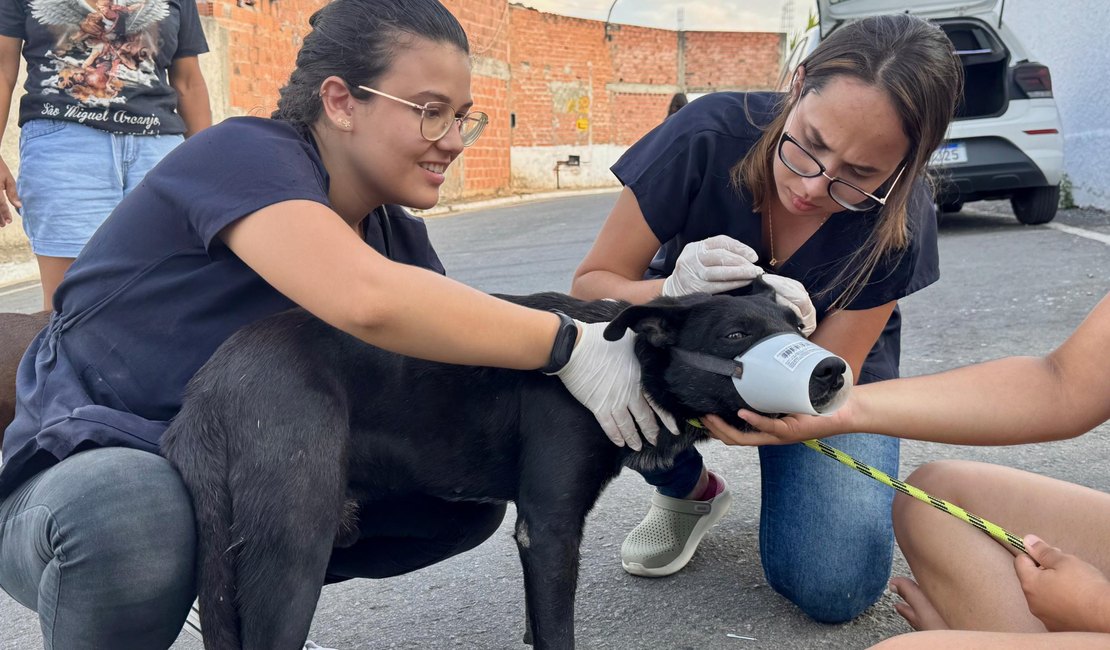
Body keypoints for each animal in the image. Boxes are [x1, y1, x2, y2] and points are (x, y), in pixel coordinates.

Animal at [160, 279, 843, 647]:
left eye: (795, 324)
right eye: (735, 336)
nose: (833, 371)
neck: (630, 363)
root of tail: (208, 387)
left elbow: (540, 619)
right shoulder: (549, 528)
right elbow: (559, 630)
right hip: (294, 550)